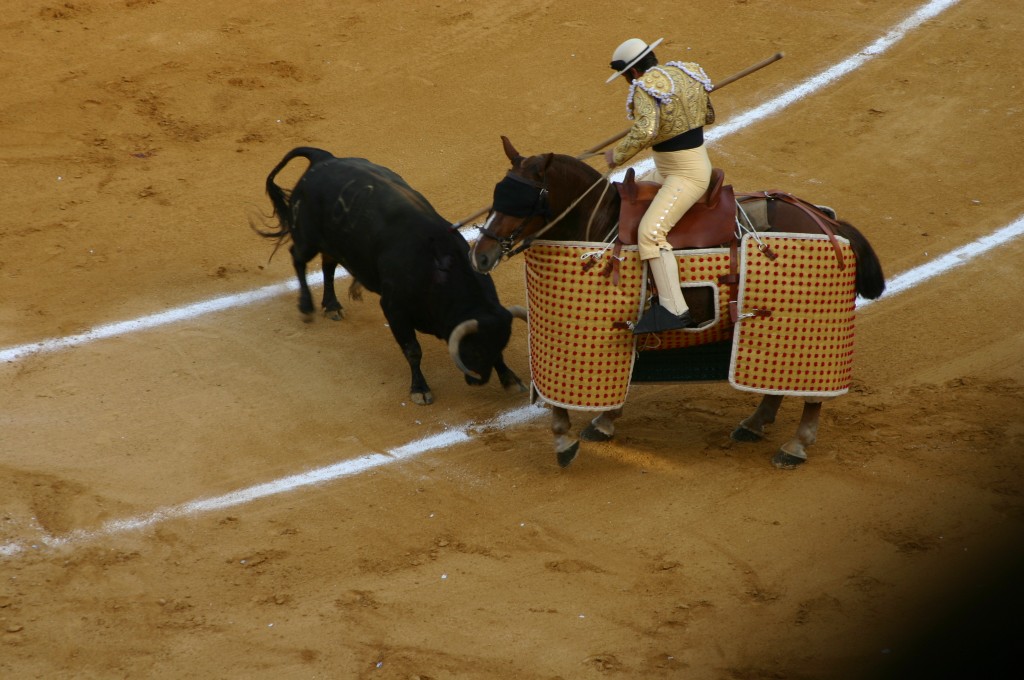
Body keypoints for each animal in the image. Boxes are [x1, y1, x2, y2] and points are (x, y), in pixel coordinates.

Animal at [256, 147, 528, 403]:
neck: (438, 272)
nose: (477, 380)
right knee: (298, 258)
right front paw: (420, 390)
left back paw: (332, 305)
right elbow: (413, 350)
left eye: (499, 345)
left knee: (328, 265)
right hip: (307, 237)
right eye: (477, 350)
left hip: (334, 242)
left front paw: (510, 379)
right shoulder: (393, 308)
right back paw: (306, 307)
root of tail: (323, 157)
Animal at [468, 138, 884, 466]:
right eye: (496, 193)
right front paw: (603, 423)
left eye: (524, 201)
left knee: (811, 392)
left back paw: (795, 446)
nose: (480, 256)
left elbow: (561, 401)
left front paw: (564, 439)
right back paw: (753, 425)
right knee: (775, 380)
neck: (599, 223)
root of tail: (829, 223)